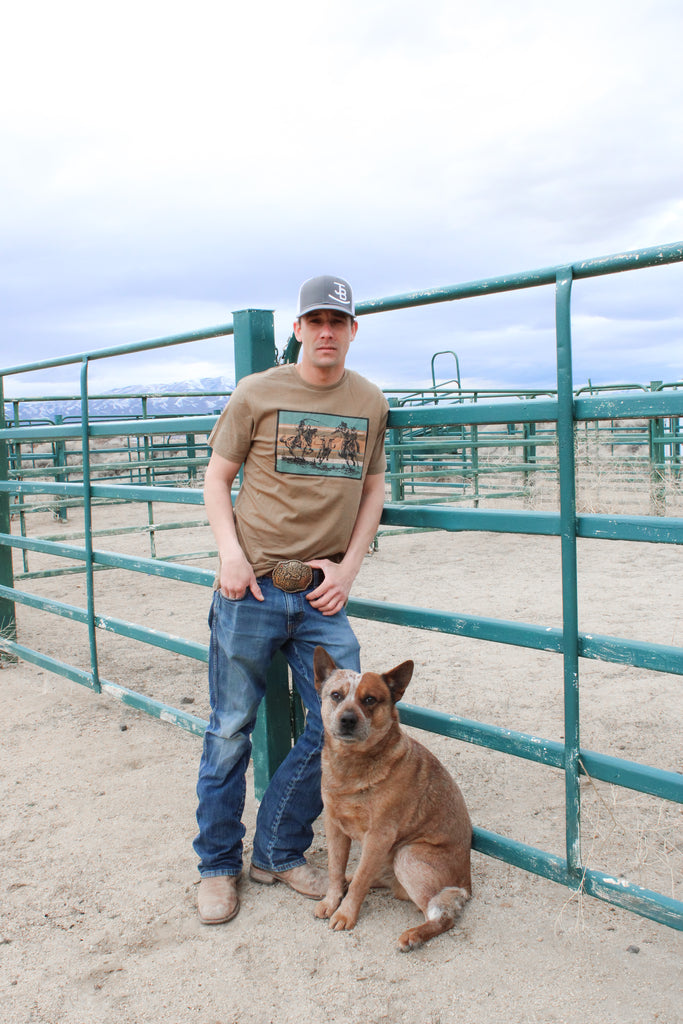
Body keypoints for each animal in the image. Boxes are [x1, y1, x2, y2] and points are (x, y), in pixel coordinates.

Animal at [313, 647, 471, 950]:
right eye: (336, 695)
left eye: (370, 699)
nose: (347, 719)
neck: (352, 767)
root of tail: (467, 883)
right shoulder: (334, 824)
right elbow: (335, 867)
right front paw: (331, 899)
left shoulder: (380, 835)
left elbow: (361, 881)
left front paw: (346, 914)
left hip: (406, 853)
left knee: (443, 917)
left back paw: (413, 935)